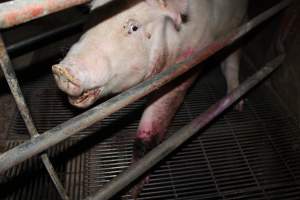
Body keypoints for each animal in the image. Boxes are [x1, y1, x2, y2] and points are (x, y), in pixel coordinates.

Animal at [51, 0, 247, 197]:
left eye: (134, 27)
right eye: (92, 17)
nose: (62, 70)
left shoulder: (187, 63)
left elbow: (156, 117)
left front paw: (134, 190)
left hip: (238, 24)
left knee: (232, 61)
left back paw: (238, 106)